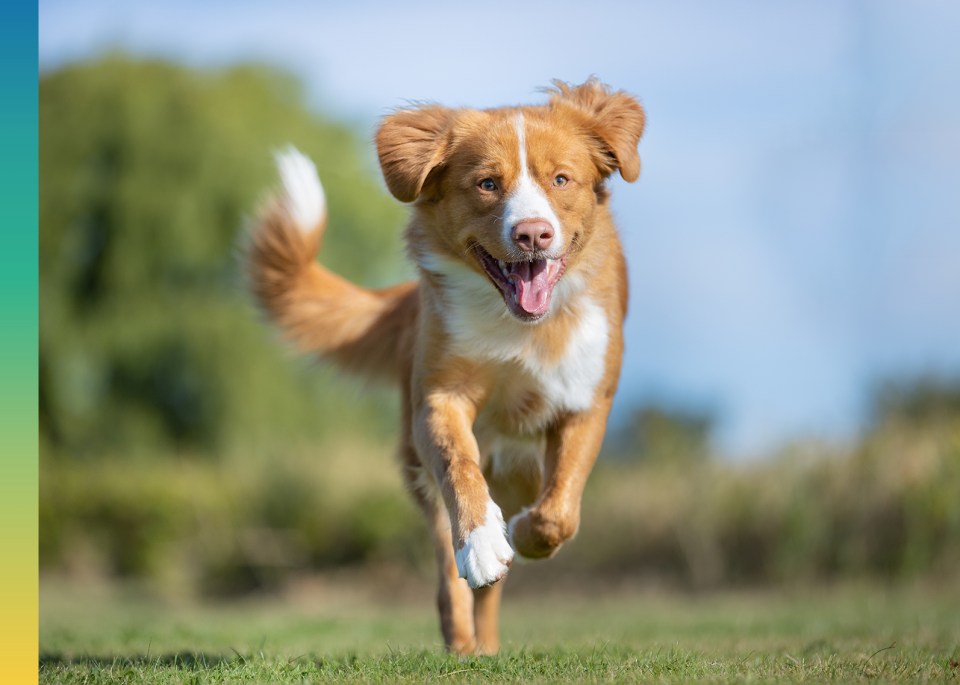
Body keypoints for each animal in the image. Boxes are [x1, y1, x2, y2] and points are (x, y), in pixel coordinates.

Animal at [248, 80, 644, 652]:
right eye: (487, 184)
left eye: (561, 179)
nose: (532, 234)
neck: (517, 326)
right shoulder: (438, 398)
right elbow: (460, 468)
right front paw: (482, 543)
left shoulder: (585, 399)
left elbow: (559, 512)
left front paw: (524, 535)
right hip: (422, 470)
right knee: (448, 578)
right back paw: (463, 633)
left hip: (518, 468)